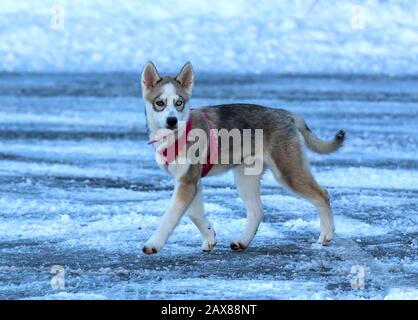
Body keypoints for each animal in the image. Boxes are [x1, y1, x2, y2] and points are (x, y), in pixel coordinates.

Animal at [139, 61, 344, 254]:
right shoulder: (189, 181)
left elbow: (170, 217)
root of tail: (283, 113)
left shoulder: (188, 182)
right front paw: (210, 238)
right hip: (246, 177)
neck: (176, 136)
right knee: (257, 210)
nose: (172, 121)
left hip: (288, 172)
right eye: (159, 103)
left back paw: (326, 235)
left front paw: (153, 244)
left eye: (179, 102)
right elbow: (195, 214)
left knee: (322, 195)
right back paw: (242, 242)